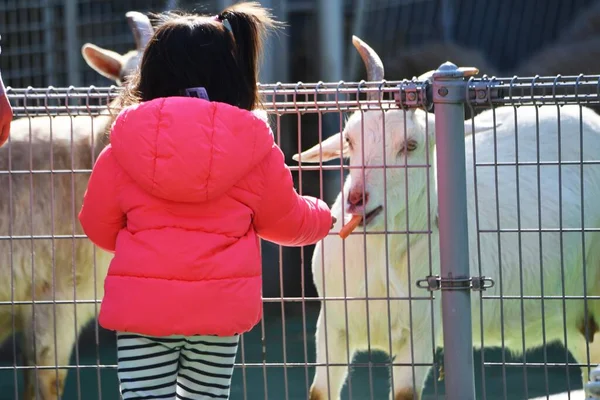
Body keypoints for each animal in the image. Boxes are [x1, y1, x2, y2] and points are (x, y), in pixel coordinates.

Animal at [296, 35, 600, 400]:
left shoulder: (422, 330)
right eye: (349, 139)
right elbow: (319, 391)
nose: (357, 199)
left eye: (410, 145)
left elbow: (405, 392)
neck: (382, 259)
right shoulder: (332, 325)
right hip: (576, 318)